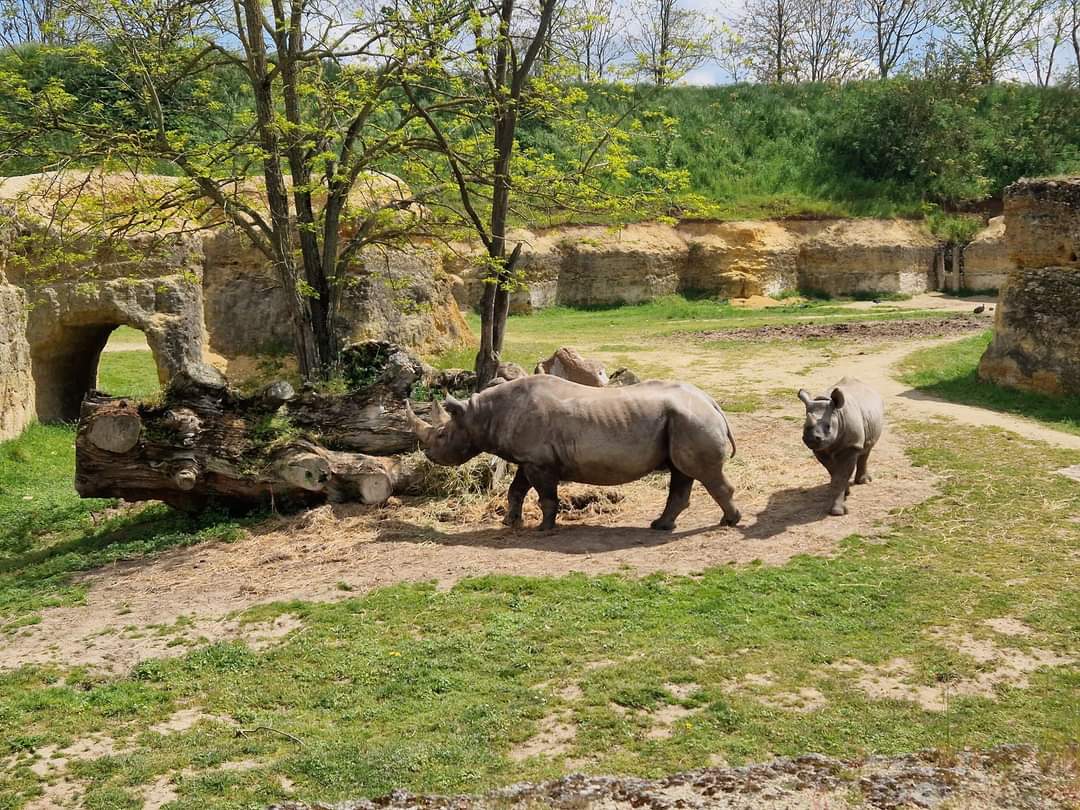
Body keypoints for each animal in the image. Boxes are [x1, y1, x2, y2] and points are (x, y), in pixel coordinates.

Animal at [405, 375, 741, 531]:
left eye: (442, 435)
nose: (430, 457)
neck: (481, 415)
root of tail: (711, 402)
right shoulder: (527, 459)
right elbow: (516, 490)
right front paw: (509, 523)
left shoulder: (539, 462)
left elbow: (545, 496)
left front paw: (544, 528)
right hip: (683, 420)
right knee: (681, 472)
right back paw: (661, 526)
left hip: (691, 419)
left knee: (702, 472)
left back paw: (729, 521)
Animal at [797, 377, 884, 516]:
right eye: (804, 426)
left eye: (828, 426)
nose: (810, 439)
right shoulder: (820, 449)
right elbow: (835, 473)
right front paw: (845, 492)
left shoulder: (851, 446)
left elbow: (841, 475)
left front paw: (837, 512)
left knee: (867, 449)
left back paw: (864, 481)